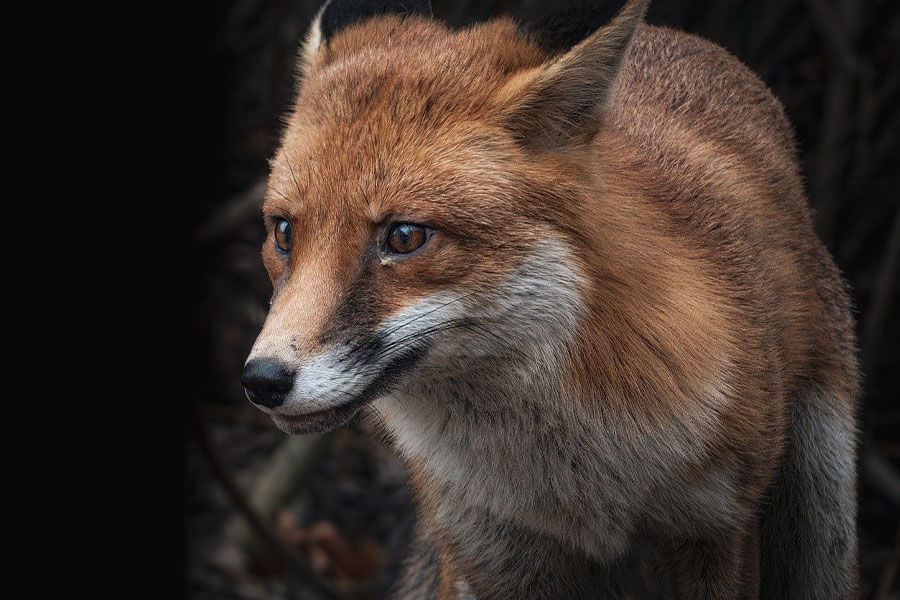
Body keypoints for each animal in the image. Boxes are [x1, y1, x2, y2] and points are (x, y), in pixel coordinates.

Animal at [241, 0, 861, 597]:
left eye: (405, 237)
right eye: (284, 232)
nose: (262, 380)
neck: (575, 485)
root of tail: (681, 38)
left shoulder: (717, 526)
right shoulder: (493, 547)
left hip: (821, 513)